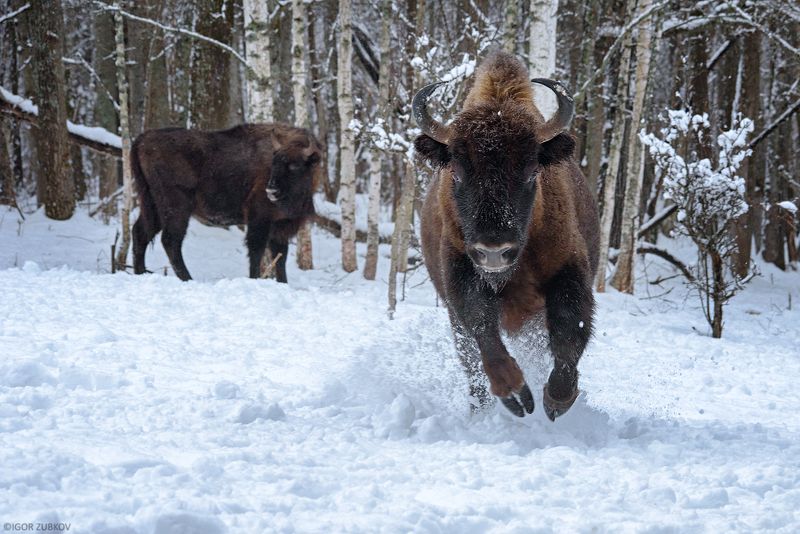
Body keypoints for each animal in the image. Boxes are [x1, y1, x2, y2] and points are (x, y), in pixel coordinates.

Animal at [131, 124, 322, 283]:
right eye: (274, 163)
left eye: (294, 165)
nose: (271, 190)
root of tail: (143, 138)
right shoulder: (259, 219)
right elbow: (257, 250)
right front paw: (254, 279)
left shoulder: (280, 225)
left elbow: (280, 256)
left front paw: (283, 283)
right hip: (177, 208)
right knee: (170, 240)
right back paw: (188, 279)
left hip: (153, 206)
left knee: (141, 232)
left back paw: (140, 272)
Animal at [413, 51, 600, 420]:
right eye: (456, 172)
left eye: (532, 172)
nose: (494, 251)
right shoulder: (461, 274)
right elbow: (482, 328)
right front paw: (516, 396)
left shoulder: (568, 270)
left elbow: (570, 328)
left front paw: (558, 399)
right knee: (471, 362)